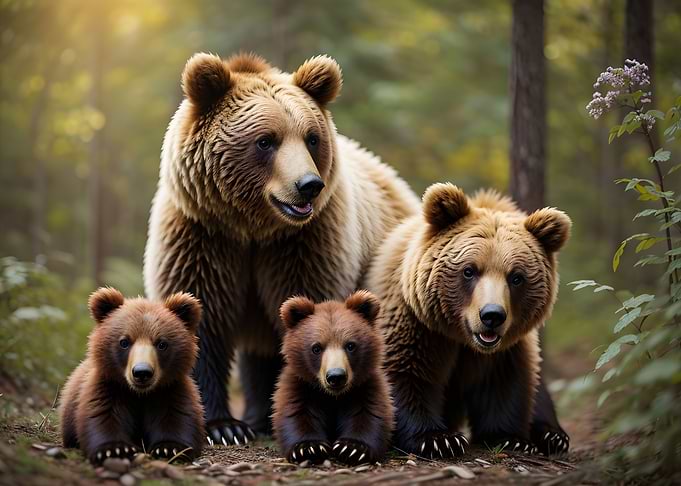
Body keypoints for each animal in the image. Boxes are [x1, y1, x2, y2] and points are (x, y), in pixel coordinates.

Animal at [59, 287, 205, 464]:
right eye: (124, 342)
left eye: (162, 343)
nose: (142, 372)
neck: (140, 394)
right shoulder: (109, 386)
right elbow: (102, 415)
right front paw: (114, 449)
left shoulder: (169, 389)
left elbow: (178, 416)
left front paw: (169, 448)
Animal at [143, 51, 419, 446]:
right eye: (266, 140)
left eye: (311, 138)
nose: (309, 185)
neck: (253, 227)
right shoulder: (202, 236)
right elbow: (202, 317)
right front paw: (224, 427)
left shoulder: (303, 244)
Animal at [272, 290, 393, 466]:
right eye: (316, 348)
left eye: (350, 345)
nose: (336, 376)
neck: (333, 397)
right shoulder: (302, 385)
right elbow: (296, 413)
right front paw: (309, 448)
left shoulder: (365, 385)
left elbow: (370, 413)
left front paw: (352, 448)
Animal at [366, 183, 572, 458]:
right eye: (469, 270)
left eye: (516, 277)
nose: (492, 315)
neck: (461, 337)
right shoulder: (417, 324)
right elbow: (406, 371)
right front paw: (439, 439)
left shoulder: (508, 347)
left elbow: (504, 382)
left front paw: (511, 438)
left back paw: (552, 435)